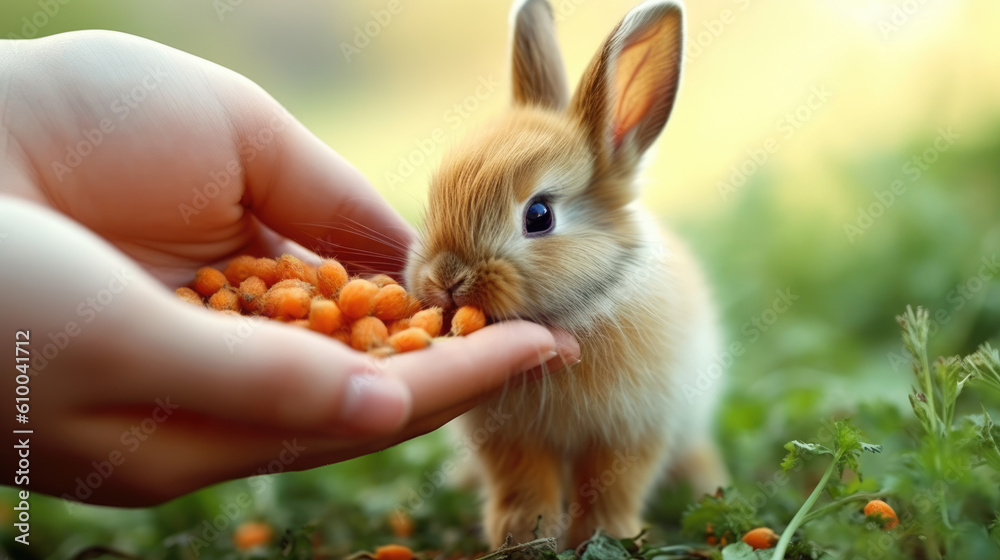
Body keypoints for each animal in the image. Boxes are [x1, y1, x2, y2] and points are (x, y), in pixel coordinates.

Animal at [404, 0, 728, 548]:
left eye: (539, 216)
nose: (446, 278)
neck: (576, 312)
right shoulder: (513, 440)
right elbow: (522, 485)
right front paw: (521, 537)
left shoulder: (631, 430)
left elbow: (613, 487)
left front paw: (605, 537)